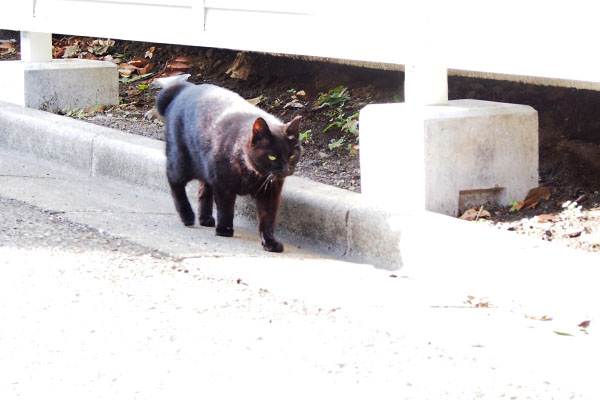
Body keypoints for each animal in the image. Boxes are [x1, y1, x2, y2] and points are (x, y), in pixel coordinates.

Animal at [157, 82, 302, 252]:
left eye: (292, 155)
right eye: (273, 156)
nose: (286, 170)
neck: (254, 175)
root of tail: (186, 87)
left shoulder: (270, 193)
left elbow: (268, 218)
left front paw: (270, 241)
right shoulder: (222, 185)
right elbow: (226, 209)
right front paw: (224, 229)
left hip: (205, 167)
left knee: (203, 190)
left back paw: (205, 218)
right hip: (180, 162)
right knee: (174, 183)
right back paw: (187, 216)